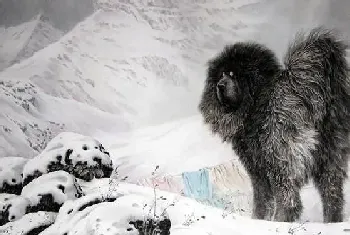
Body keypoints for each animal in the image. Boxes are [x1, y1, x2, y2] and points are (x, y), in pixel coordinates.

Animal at [198, 27, 350, 222]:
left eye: (233, 74)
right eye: (221, 74)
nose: (220, 85)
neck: (256, 98)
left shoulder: (257, 168)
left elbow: (262, 198)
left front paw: (258, 220)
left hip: (279, 157)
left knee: (289, 199)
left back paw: (282, 219)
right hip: (330, 158)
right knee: (332, 195)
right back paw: (331, 222)